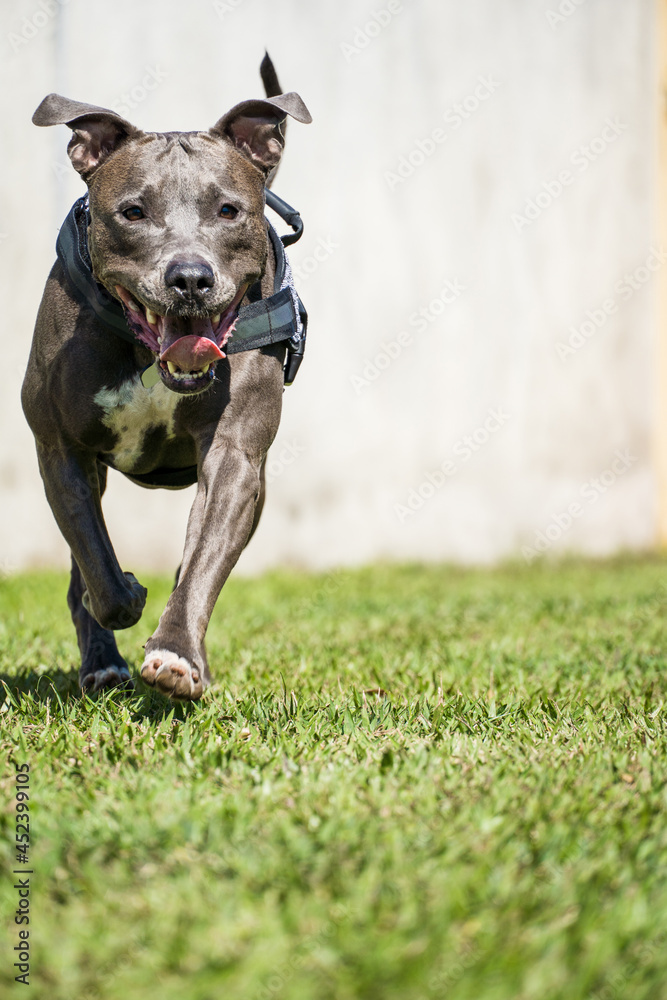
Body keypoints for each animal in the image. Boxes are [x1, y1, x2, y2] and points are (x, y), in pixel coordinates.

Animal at [21, 52, 314, 696]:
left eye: (228, 210)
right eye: (133, 211)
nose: (189, 278)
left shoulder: (235, 456)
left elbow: (202, 562)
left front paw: (178, 654)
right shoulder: (61, 448)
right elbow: (94, 564)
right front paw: (125, 596)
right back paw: (102, 661)